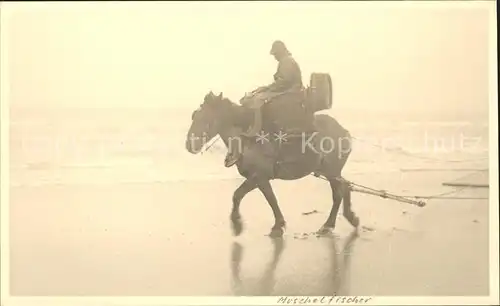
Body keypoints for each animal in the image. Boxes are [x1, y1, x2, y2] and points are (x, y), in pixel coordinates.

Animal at [186, 89, 358, 238]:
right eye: (194, 116)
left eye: (206, 118)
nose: (189, 145)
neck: (246, 140)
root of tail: (343, 131)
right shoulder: (259, 179)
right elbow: (268, 199)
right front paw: (277, 224)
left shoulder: (259, 177)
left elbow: (244, 196)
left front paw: (239, 224)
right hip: (327, 171)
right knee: (346, 186)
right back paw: (350, 218)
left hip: (331, 172)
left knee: (338, 193)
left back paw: (329, 225)